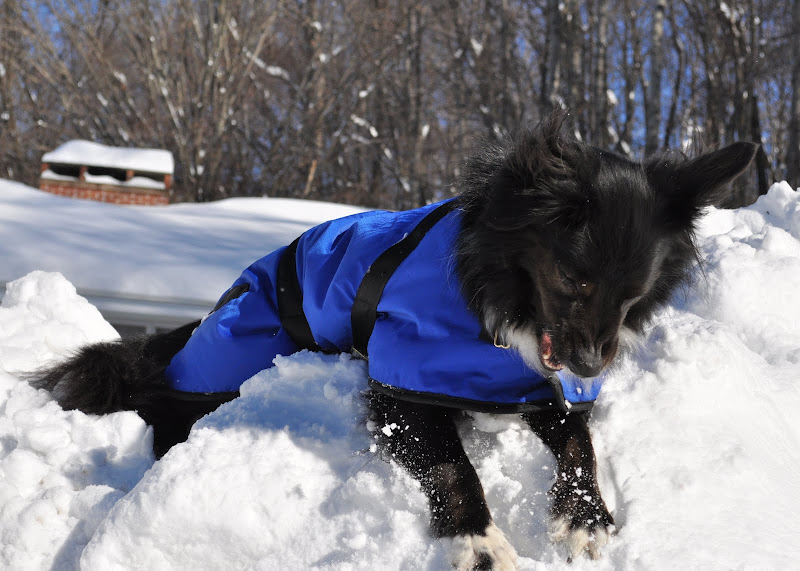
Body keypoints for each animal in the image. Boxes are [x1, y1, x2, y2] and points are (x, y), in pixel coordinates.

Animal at [29, 112, 757, 569]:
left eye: (635, 294)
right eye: (574, 280)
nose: (587, 366)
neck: (495, 301)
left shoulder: (536, 387)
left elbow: (581, 442)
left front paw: (585, 517)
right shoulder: (399, 391)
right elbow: (454, 465)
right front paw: (480, 544)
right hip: (236, 354)